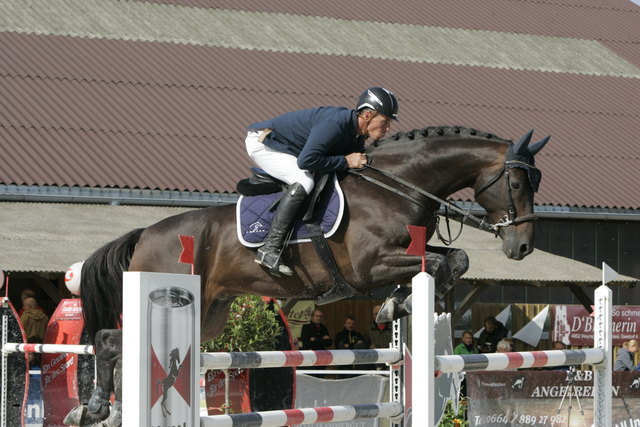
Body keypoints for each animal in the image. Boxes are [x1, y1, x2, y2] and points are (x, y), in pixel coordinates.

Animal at [71, 125, 552, 426]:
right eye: (516, 183)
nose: (522, 247)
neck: (399, 185)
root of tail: (146, 233)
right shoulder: (369, 265)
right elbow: (437, 265)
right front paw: (398, 302)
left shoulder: (405, 252)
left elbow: (456, 259)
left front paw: (396, 304)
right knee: (109, 340)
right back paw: (93, 409)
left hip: (209, 314)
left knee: (127, 346)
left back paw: (109, 409)